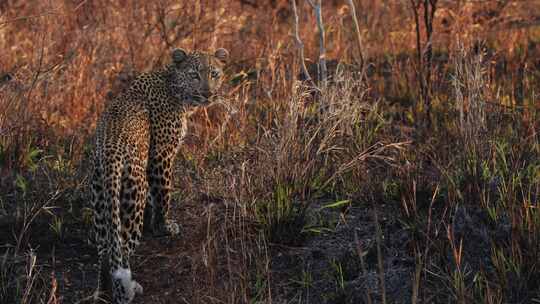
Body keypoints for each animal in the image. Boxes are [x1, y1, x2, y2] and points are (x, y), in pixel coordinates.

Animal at [89, 47, 229, 304]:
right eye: (194, 75)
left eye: (214, 74)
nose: (207, 93)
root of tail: (110, 155)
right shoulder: (161, 155)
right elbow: (163, 195)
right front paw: (164, 227)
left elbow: (155, 199)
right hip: (132, 197)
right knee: (122, 249)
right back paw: (127, 291)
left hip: (100, 203)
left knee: (105, 252)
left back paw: (103, 293)